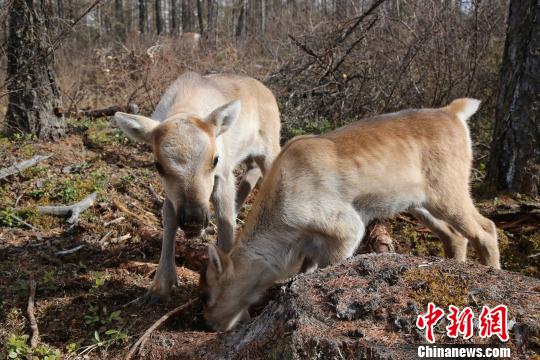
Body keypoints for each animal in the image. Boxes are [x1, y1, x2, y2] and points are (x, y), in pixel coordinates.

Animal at [115, 71, 280, 302]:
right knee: (252, 171)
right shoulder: (171, 193)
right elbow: (169, 218)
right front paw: (160, 285)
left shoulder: (224, 175)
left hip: (270, 147)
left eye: (215, 159)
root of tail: (268, 92)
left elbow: (225, 222)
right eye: (158, 166)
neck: (185, 105)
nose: (194, 219)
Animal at [200, 98, 500, 332]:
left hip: (448, 191)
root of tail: (454, 112)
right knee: (455, 237)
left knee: (486, 229)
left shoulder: (348, 227)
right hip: (420, 204)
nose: (207, 324)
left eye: (208, 294)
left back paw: (493, 273)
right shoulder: (311, 249)